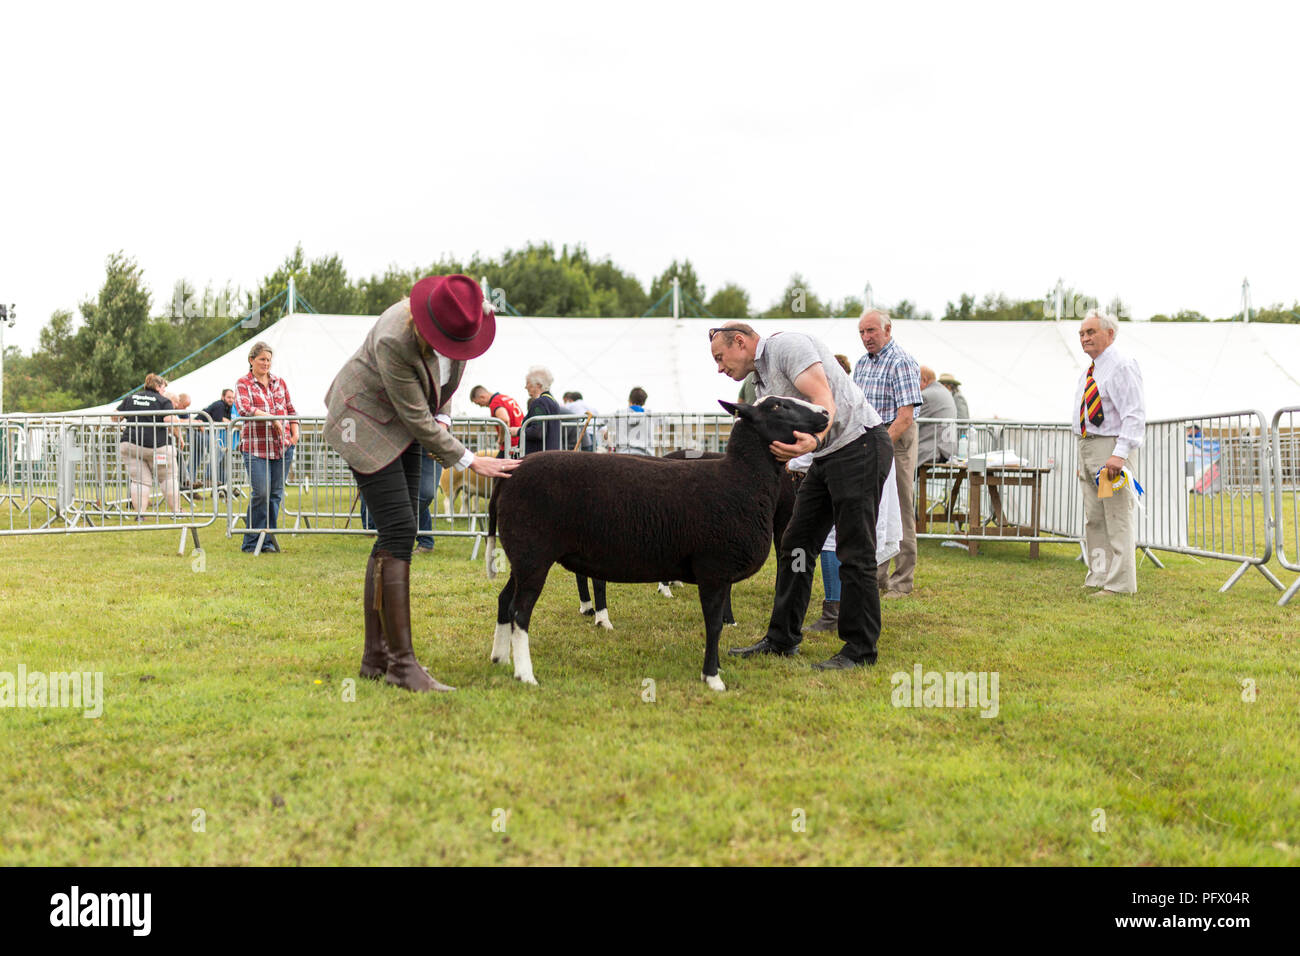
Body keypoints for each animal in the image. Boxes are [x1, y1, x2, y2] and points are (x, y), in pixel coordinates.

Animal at [483, 398, 826, 697]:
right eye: (778, 406)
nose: (825, 412)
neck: (742, 480)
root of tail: (510, 471)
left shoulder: (719, 571)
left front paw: (714, 671)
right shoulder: (713, 569)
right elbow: (714, 625)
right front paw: (712, 678)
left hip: (524, 557)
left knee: (504, 601)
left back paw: (499, 659)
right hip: (533, 553)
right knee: (520, 611)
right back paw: (525, 674)